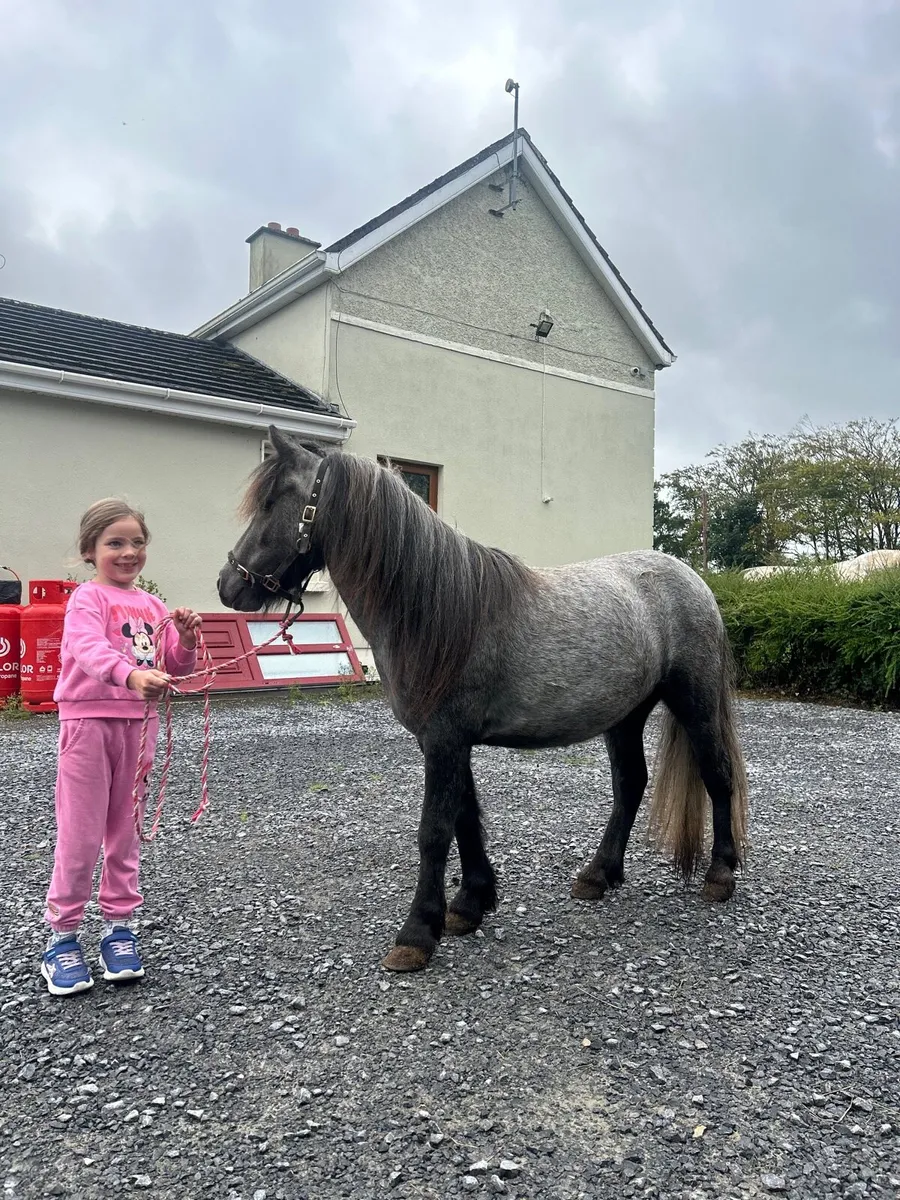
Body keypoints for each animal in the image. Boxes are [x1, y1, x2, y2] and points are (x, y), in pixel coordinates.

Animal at [218, 426, 749, 973]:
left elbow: (435, 831)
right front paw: (469, 904)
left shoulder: (445, 740)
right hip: (625, 715)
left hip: (694, 703)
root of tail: (695, 581)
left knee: (717, 776)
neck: (438, 610)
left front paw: (416, 933)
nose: (228, 584)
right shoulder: (446, 741)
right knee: (630, 784)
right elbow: (466, 818)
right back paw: (598, 875)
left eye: (272, 502)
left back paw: (720, 875)